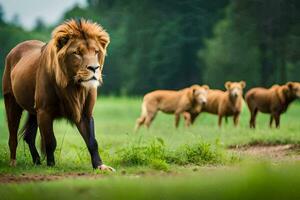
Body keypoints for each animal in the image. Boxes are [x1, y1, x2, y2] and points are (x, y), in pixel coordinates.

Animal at [2, 18, 114, 171]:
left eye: (96, 51)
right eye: (77, 53)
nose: (94, 68)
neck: (74, 87)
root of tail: (14, 49)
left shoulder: (85, 113)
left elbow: (92, 141)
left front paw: (100, 166)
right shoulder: (44, 111)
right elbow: (50, 141)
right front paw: (51, 165)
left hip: (33, 110)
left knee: (28, 136)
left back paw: (37, 161)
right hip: (11, 101)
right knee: (13, 135)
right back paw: (13, 162)